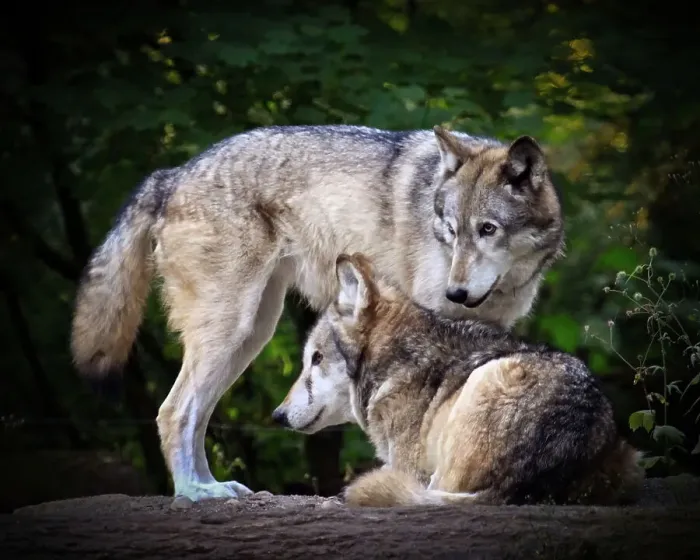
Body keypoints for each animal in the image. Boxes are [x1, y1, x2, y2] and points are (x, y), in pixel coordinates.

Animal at [71, 124, 565, 502]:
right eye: (450, 230)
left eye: (487, 230)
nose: (457, 291)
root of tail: (170, 175)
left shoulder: (489, 330)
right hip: (230, 331)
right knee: (173, 411)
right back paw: (195, 494)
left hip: (250, 336)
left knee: (194, 416)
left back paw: (214, 487)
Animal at [273, 253, 644, 507]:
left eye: (316, 359)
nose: (277, 415)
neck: (397, 360)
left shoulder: (409, 469)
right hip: (631, 457)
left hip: (484, 383)